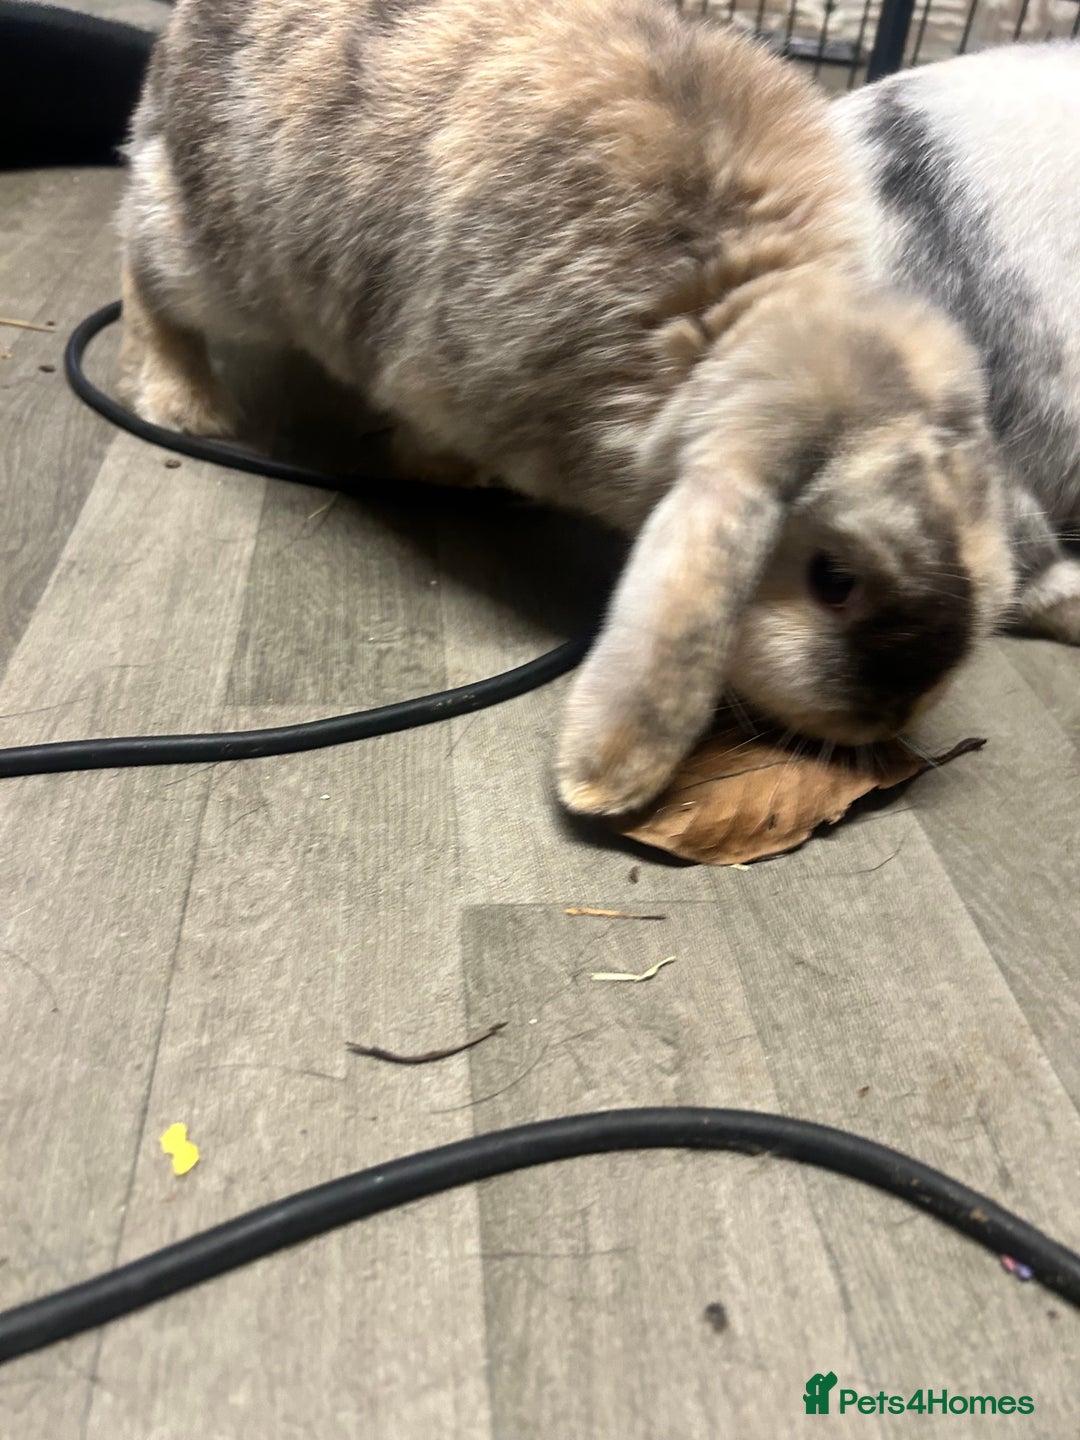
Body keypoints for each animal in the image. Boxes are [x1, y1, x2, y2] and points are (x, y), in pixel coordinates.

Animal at [118, 0, 1014, 817]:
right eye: (832, 580)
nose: (896, 712)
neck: (719, 320)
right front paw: (451, 476)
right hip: (212, 249)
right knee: (143, 266)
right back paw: (184, 404)